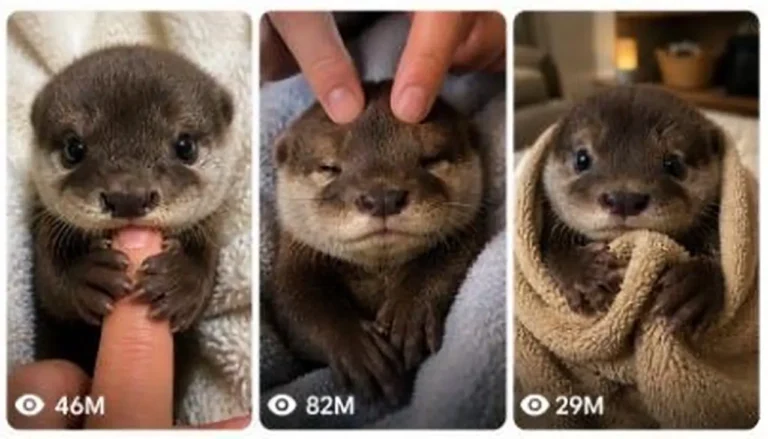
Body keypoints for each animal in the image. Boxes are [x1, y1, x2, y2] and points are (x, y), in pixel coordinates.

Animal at [28, 45, 236, 377]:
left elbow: (205, 270)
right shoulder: (46, 228)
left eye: (185, 145)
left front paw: (178, 279)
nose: (128, 197)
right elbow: (51, 285)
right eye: (74, 148)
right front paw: (88, 274)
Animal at [269, 81, 487, 404]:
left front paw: (409, 314)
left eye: (432, 160)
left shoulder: (467, 234)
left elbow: (447, 264)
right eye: (329, 167)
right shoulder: (293, 263)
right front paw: (359, 350)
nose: (383, 197)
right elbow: (298, 310)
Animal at [540, 86, 724, 333]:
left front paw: (695, 285)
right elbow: (551, 245)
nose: (624, 199)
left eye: (674, 164)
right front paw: (585, 273)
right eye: (582, 158)